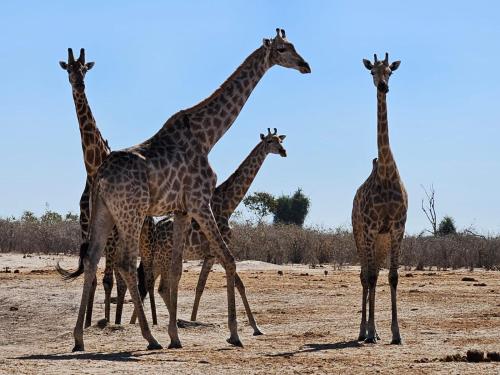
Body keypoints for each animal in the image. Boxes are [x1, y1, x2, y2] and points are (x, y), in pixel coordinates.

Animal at [59, 49, 156, 326]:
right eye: (69, 69)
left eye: (85, 69)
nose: (79, 84)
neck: (92, 170)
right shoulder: (87, 230)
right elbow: (92, 277)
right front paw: (88, 321)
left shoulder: (113, 235)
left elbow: (108, 280)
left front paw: (107, 321)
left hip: (140, 236)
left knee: (137, 276)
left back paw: (131, 320)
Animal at [131, 129, 288, 334]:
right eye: (270, 141)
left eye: (280, 140)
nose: (283, 151)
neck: (228, 205)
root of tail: (154, 229)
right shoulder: (216, 252)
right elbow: (238, 284)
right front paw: (255, 327)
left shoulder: (210, 255)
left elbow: (202, 287)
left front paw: (194, 318)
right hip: (162, 258)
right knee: (158, 287)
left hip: (156, 259)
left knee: (148, 284)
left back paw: (141, 322)